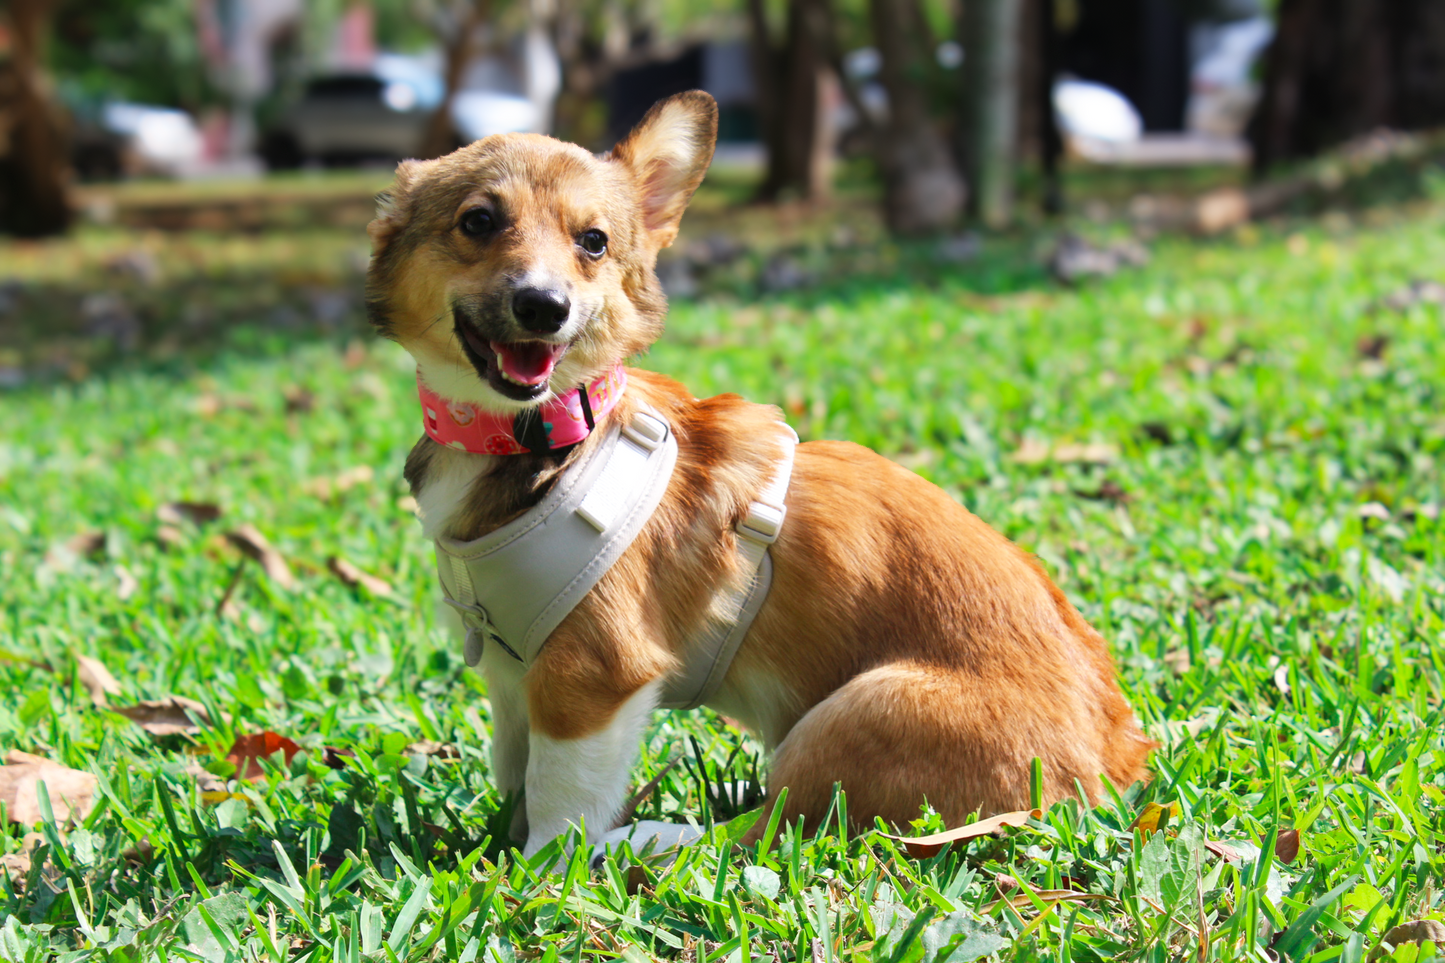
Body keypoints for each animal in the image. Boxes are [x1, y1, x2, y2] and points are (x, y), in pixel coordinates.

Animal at [367, 91, 1156, 856]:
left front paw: (536, 873)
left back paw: (656, 838)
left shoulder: (592, 674)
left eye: (592, 241)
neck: (537, 436)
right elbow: (515, 773)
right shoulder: (510, 679)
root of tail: (1110, 772)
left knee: (770, 829)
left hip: (857, 712)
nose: (543, 305)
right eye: (478, 221)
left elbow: (559, 813)